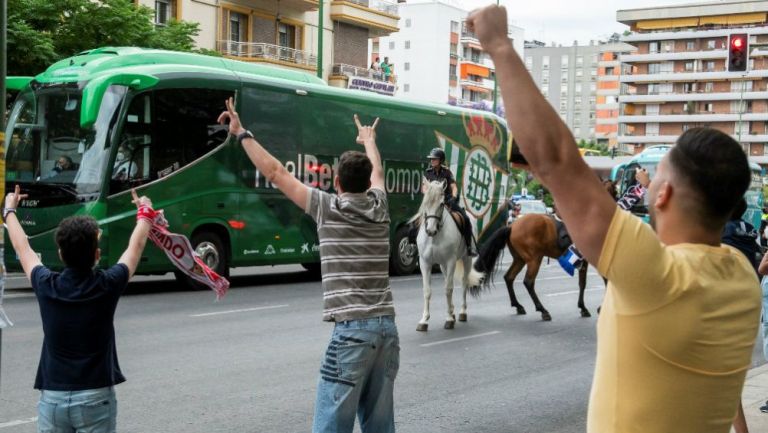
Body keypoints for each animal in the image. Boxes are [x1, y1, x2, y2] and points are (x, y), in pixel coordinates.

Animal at [414, 180, 474, 330]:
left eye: (441, 204)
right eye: (425, 202)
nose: (430, 230)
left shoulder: (451, 261)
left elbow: (448, 289)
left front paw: (449, 319)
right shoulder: (425, 263)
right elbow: (427, 290)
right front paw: (424, 320)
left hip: (466, 259)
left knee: (463, 282)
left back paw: (462, 312)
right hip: (442, 265)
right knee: (448, 279)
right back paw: (452, 311)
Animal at [464, 215, 592, 320]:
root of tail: (512, 226)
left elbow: (582, 283)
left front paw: (583, 307)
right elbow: (583, 283)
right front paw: (584, 308)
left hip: (520, 260)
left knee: (509, 277)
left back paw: (518, 305)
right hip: (534, 260)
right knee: (528, 282)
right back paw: (542, 310)